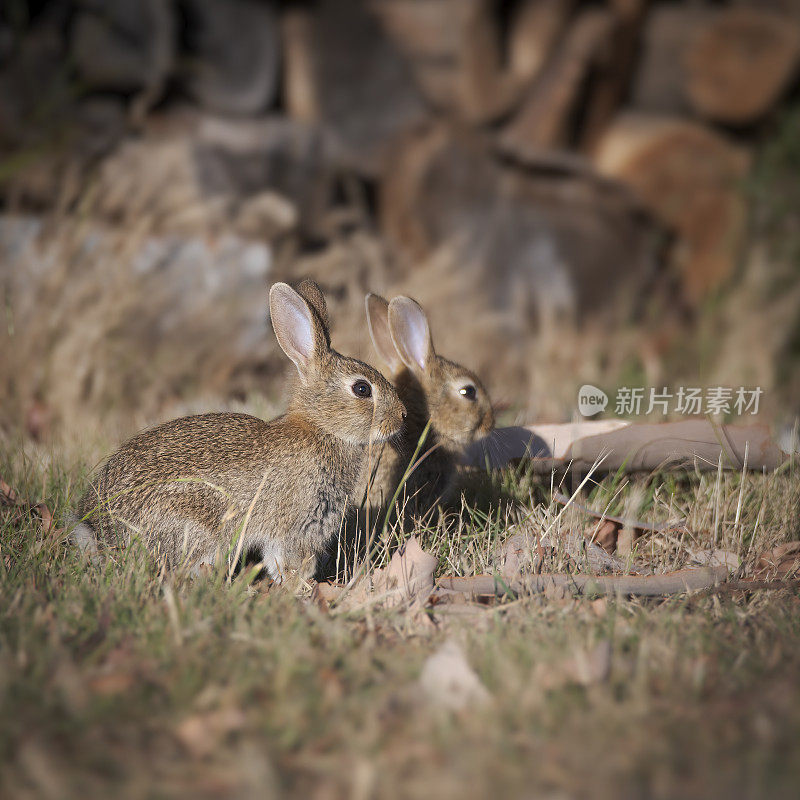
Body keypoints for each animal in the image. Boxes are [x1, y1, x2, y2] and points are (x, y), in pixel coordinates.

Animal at [72, 282, 406, 580]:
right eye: (362, 389)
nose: (401, 416)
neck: (322, 428)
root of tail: (98, 534)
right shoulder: (295, 527)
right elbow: (289, 562)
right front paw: (301, 589)